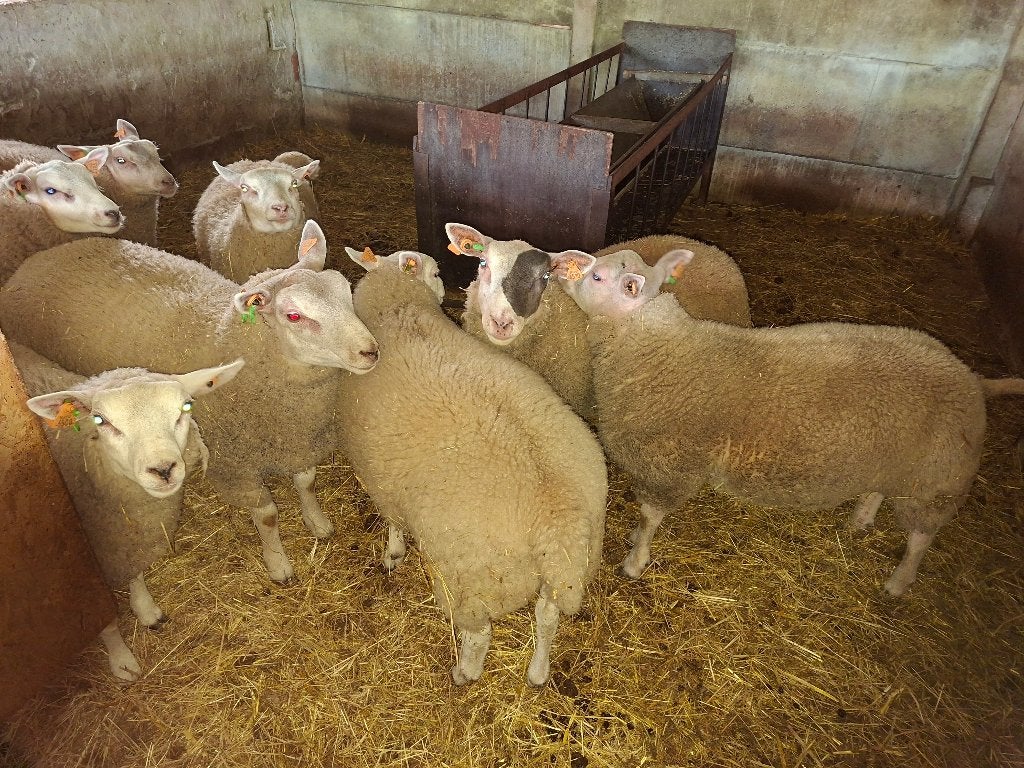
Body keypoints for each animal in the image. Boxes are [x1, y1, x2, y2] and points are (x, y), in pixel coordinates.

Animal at [0, 220, 379, 585]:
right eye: (295, 316)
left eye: (346, 291)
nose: (371, 351)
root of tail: (37, 261)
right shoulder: (234, 465)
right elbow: (268, 516)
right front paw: (278, 564)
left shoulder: (298, 438)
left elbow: (306, 482)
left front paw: (317, 522)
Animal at [13, 341, 244, 680]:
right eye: (100, 421)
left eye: (186, 407)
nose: (163, 469)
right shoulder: (86, 566)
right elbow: (105, 619)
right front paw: (120, 658)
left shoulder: (128, 544)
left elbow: (135, 575)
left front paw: (145, 608)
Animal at [335, 244, 607, 686]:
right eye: (435, 272)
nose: (446, 283)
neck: (400, 314)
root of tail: (559, 518)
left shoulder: (379, 476)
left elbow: (392, 522)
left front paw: (393, 553)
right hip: (571, 567)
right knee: (548, 615)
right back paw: (538, 671)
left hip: (472, 581)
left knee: (479, 635)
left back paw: (464, 672)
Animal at [562, 248, 1024, 596]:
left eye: (598, 277)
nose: (560, 267)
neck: (655, 348)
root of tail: (971, 377)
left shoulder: (669, 466)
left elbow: (649, 518)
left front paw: (634, 560)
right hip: (894, 461)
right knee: (878, 490)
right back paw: (860, 519)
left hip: (936, 480)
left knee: (920, 538)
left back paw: (899, 581)